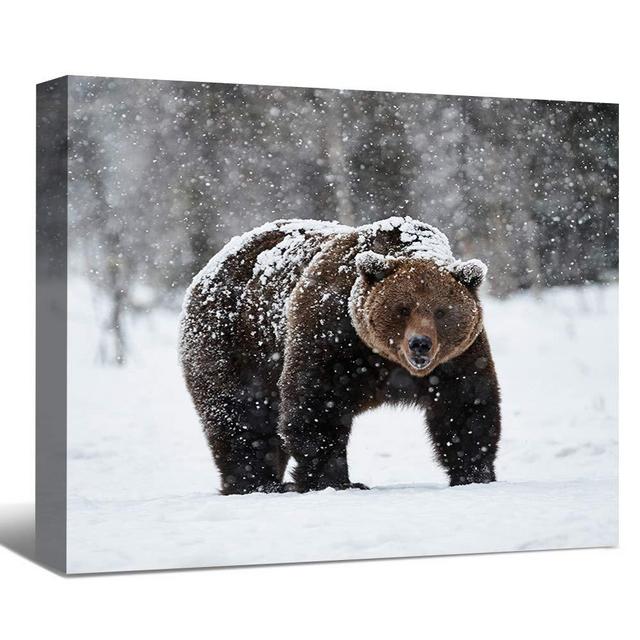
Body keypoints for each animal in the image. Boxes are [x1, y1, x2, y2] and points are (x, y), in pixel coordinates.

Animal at [179, 216, 501, 495]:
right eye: (403, 308)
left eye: (441, 311)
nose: (419, 344)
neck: (384, 359)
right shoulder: (330, 335)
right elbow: (316, 406)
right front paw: (335, 481)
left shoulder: (457, 358)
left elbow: (466, 408)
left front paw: (475, 474)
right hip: (234, 343)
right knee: (243, 418)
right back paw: (257, 484)